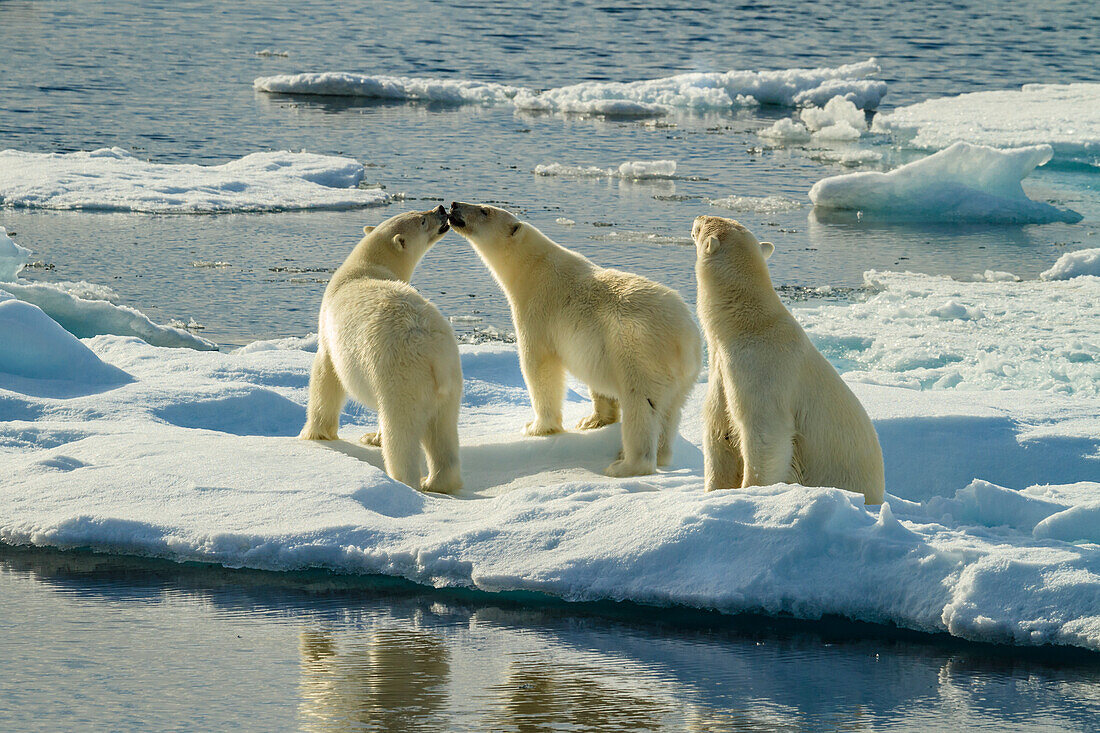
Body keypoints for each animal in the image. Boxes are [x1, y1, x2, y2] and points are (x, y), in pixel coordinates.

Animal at [299, 205, 462, 490]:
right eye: (420, 217)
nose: (441, 209)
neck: (365, 267)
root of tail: (436, 356)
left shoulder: (329, 335)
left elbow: (325, 378)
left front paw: (314, 434)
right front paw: (372, 438)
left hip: (403, 378)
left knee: (401, 432)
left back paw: (403, 480)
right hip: (450, 384)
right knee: (443, 431)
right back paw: (435, 482)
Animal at [448, 201, 699, 473]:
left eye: (484, 210)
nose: (454, 205)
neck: (532, 268)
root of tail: (685, 339)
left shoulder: (538, 311)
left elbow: (539, 367)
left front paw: (536, 427)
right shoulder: (597, 342)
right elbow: (597, 381)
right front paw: (592, 420)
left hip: (640, 353)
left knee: (641, 405)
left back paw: (624, 465)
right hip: (682, 378)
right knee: (671, 412)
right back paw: (661, 454)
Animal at [695, 214, 884, 506]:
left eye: (707, 223)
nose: (699, 216)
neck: (747, 326)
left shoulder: (761, 369)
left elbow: (766, 435)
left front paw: (751, 490)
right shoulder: (721, 372)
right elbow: (719, 432)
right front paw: (714, 491)